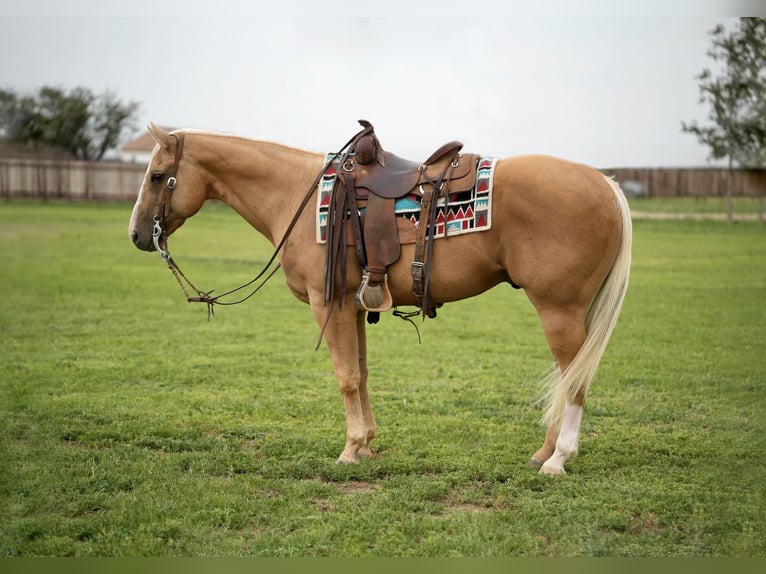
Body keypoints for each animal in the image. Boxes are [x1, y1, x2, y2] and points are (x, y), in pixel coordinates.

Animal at [130, 122, 636, 476]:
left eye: (157, 176)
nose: (136, 235)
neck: (296, 194)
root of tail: (606, 185)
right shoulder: (352, 306)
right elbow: (363, 373)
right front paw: (368, 443)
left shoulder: (328, 304)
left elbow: (346, 377)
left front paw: (350, 449)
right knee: (569, 376)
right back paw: (544, 452)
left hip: (559, 309)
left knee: (575, 379)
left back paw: (558, 458)